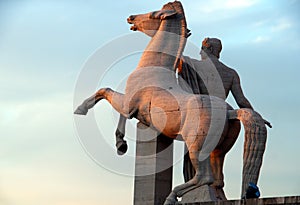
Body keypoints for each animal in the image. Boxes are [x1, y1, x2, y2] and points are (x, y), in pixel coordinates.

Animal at [75, 1, 268, 203]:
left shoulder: (126, 101)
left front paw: (81, 109)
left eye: (153, 14)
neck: (154, 67)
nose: (131, 17)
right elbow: (122, 114)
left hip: (196, 146)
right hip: (218, 151)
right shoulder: (131, 107)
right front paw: (121, 144)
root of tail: (230, 112)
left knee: (203, 177)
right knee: (217, 179)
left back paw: (172, 197)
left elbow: (105, 91)